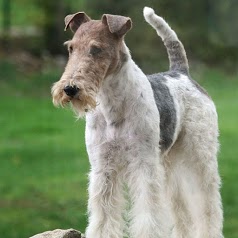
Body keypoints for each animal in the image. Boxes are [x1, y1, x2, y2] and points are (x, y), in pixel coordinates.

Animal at [51, 6, 223, 237]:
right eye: (71, 48)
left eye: (96, 49)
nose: (70, 89)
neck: (111, 106)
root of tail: (181, 73)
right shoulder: (103, 168)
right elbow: (103, 217)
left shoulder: (143, 166)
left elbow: (148, 215)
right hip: (169, 164)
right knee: (181, 208)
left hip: (199, 156)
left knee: (207, 203)